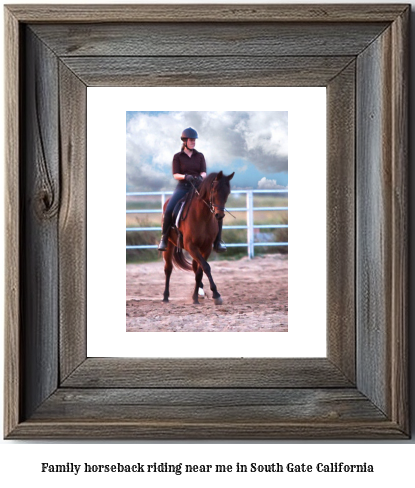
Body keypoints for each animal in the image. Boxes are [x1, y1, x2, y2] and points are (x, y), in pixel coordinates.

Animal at [162, 173, 234, 304]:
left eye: (227, 192)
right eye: (214, 191)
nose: (219, 215)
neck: (202, 216)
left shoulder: (206, 248)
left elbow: (201, 271)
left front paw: (196, 297)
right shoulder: (191, 246)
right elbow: (206, 267)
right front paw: (216, 294)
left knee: (195, 268)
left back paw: (199, 293)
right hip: (169, 245)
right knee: (168, 269)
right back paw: (165, 297)